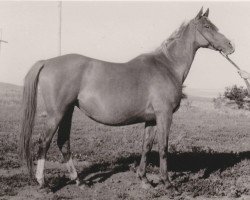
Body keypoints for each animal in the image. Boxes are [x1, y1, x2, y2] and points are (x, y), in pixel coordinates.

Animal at [19, 7, 234, 190]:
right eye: (207, 26)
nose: (231, 46)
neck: (167, 66)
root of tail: (47, 62)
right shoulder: (164, 115)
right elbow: (163, 147)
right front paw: (167, 183)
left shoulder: (151, 119)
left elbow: (146, 147)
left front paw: (144, 179)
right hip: (57, 113)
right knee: (44, 142)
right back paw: (43, 182)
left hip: (68, 111)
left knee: (63, 143)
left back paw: (79, 181)